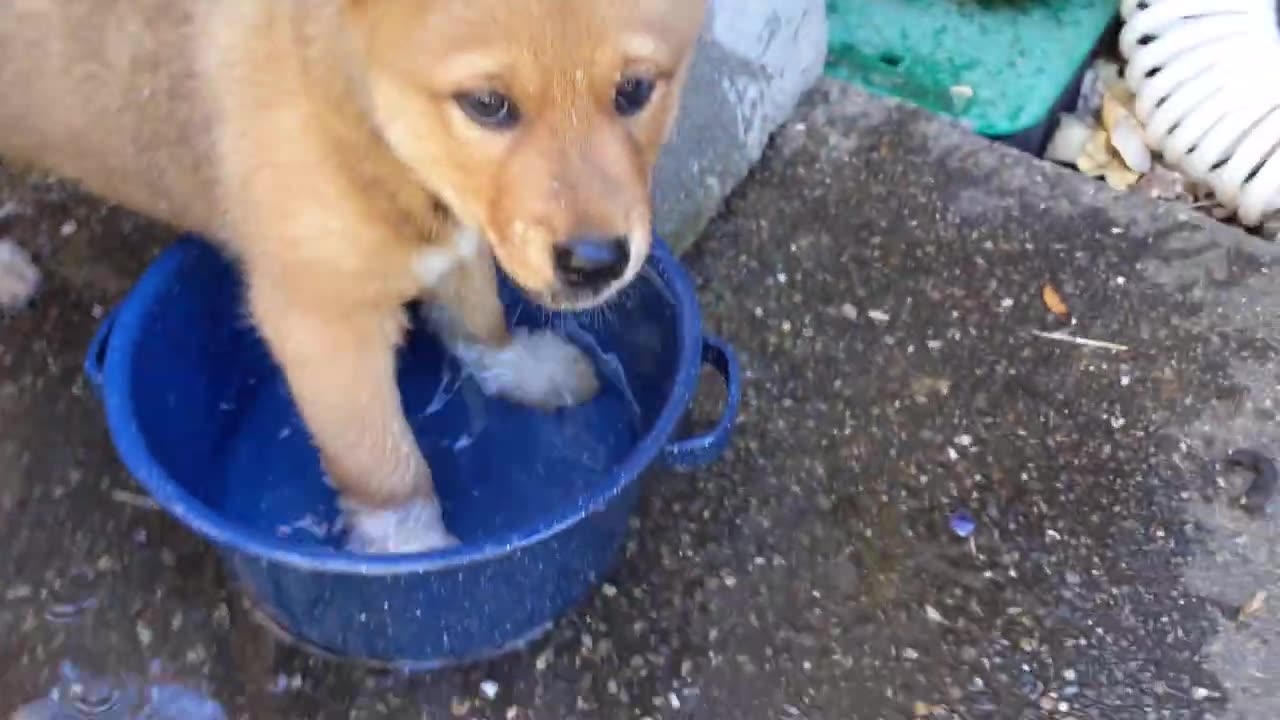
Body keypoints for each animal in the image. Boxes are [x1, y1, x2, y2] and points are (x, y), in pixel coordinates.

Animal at [0, 0, 711, 548]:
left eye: (635, 90)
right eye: (487, 104)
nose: (596, 263)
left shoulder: (460, 228)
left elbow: (478, 316)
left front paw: (524, 368)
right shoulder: (321, 321)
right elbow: (384, 462)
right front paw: (413, 553)